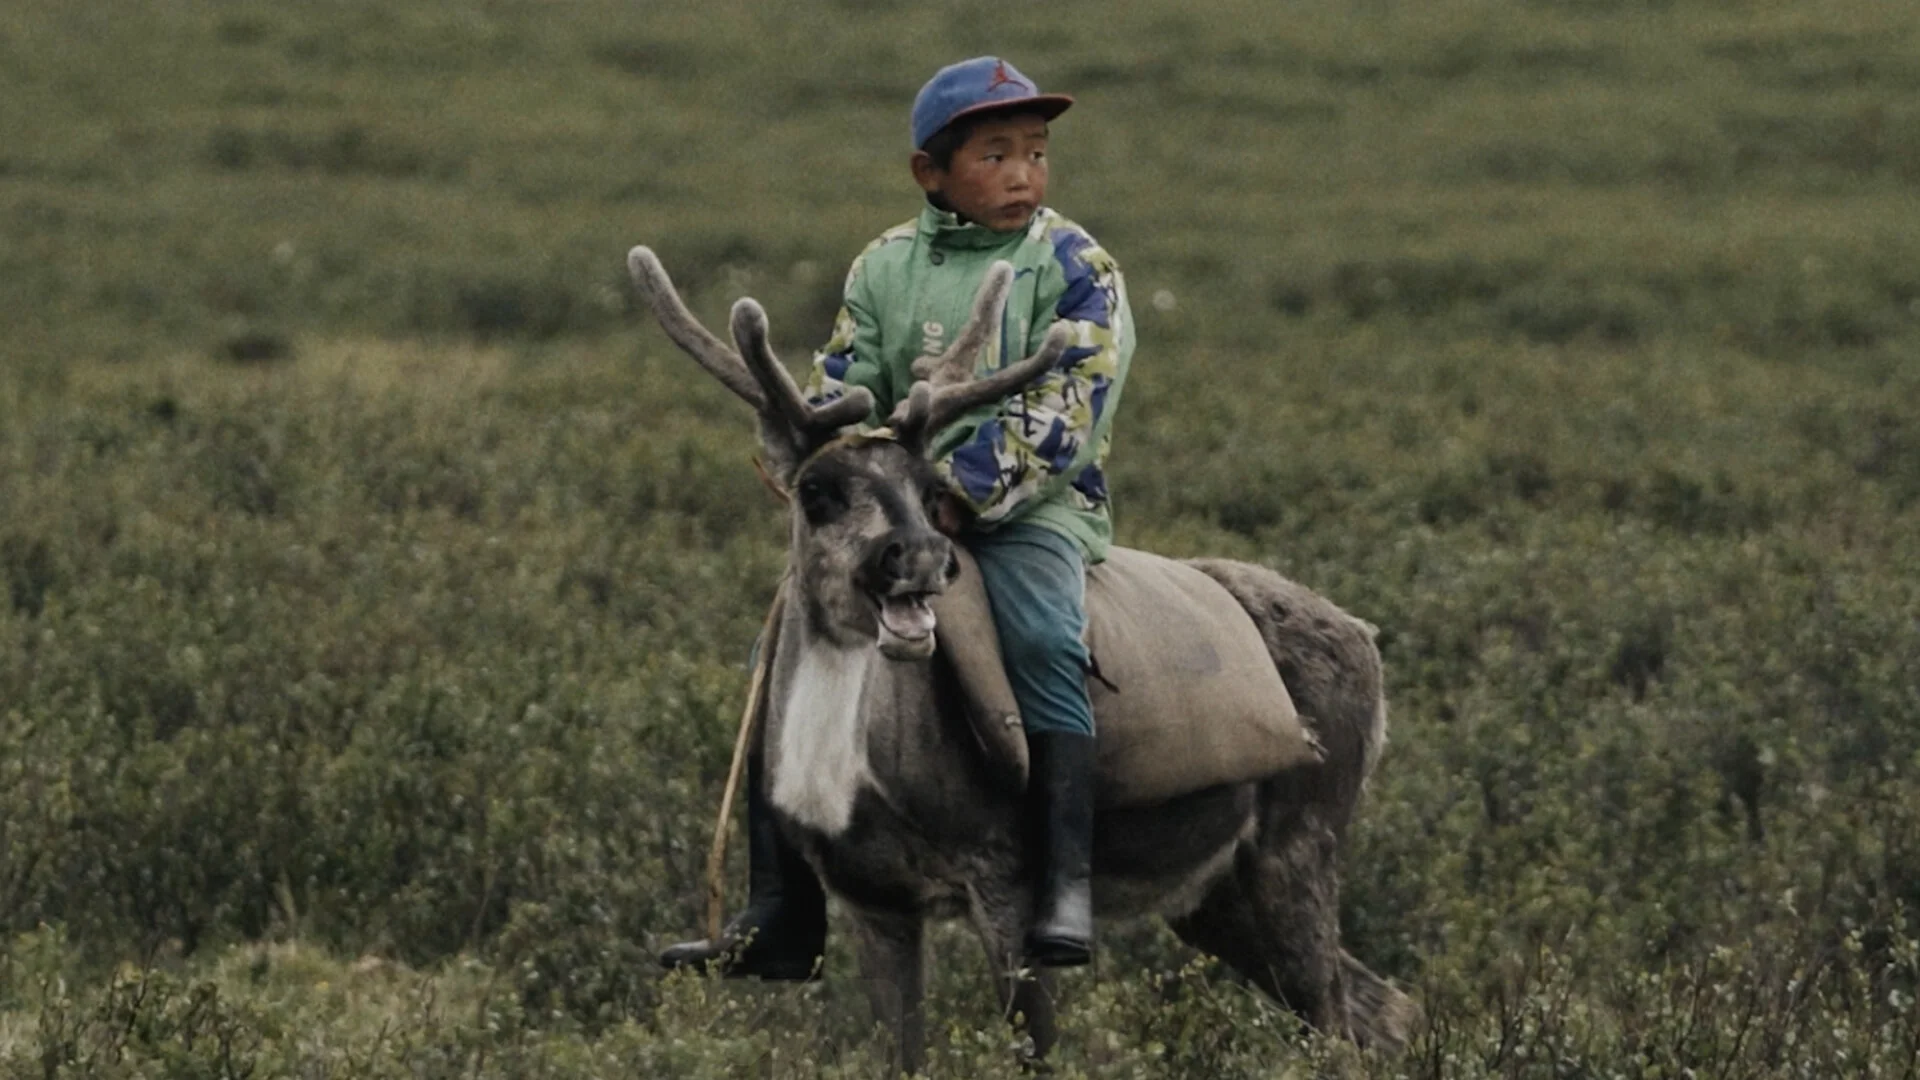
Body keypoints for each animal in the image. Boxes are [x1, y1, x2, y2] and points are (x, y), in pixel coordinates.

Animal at [628, 246, 1418, 1072]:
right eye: (817, 490)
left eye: (928, 487)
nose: (920, 555)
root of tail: (1367, 639)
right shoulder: (874, 901)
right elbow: (900, 1054)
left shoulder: (1003, 878)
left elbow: (1033, 1049)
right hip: (1214, 894)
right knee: (1381, 1009)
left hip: (1297, 848)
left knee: (1337, 1019)